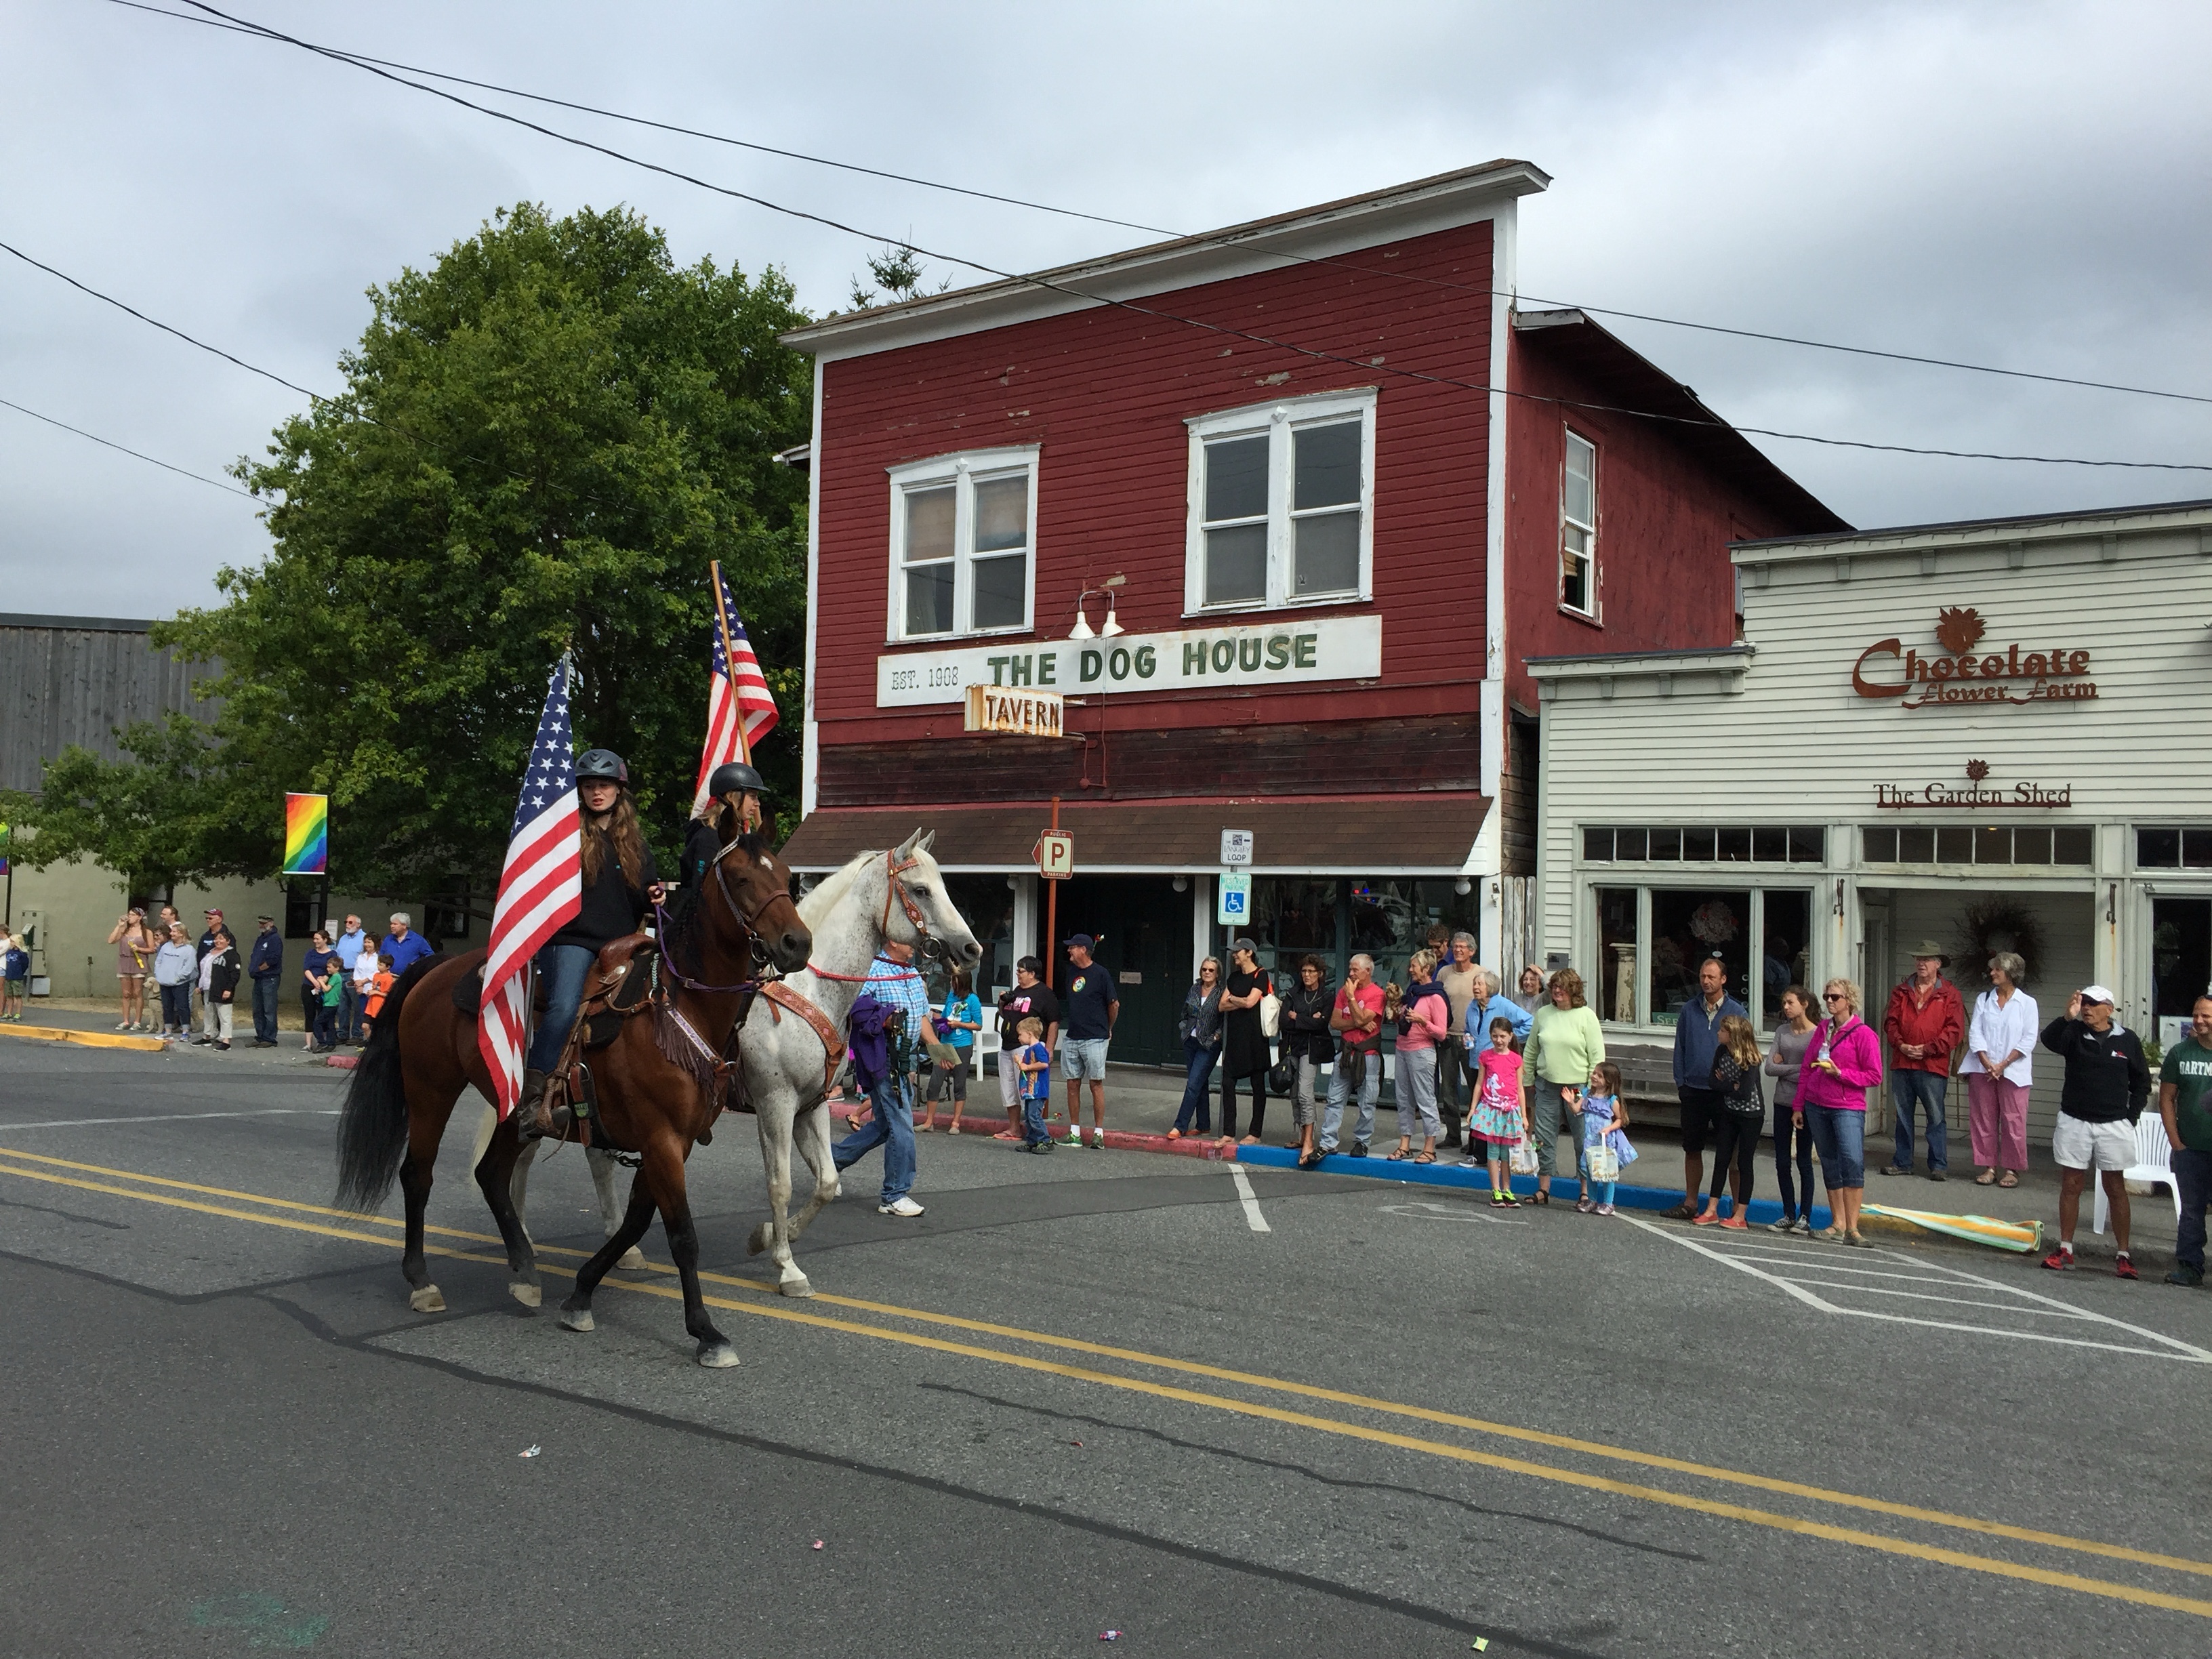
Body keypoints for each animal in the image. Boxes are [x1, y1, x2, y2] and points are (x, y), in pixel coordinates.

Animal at [332, 820, 811, 1367]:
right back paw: (422, 1282)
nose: (797, 943)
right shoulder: (662, 1139)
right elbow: (681, 1235)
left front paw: (581, 1295)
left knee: (491, 1175)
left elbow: (634, 1223)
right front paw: (706, 1332)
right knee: (419, 1175)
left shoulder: (674, 1142)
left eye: (788, 877)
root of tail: (436, 967)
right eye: (740, 877)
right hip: (430, 1088)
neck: (676, 1007)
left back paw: (524, 1270)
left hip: (513, 1110)